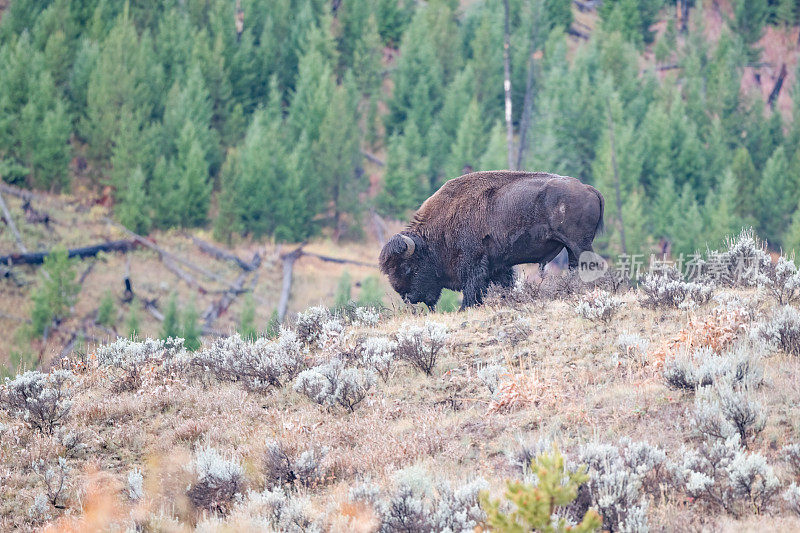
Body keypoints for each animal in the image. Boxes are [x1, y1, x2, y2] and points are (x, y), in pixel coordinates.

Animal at [378, 170, 604, 308]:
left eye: (408, 268)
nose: (408, 298)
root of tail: (589, 189)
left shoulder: (473, 263)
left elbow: (472, 289)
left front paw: (464, 309)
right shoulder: (498, 265)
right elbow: (503, 284)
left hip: (579, 244)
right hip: (572, 246)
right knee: (575, 267)